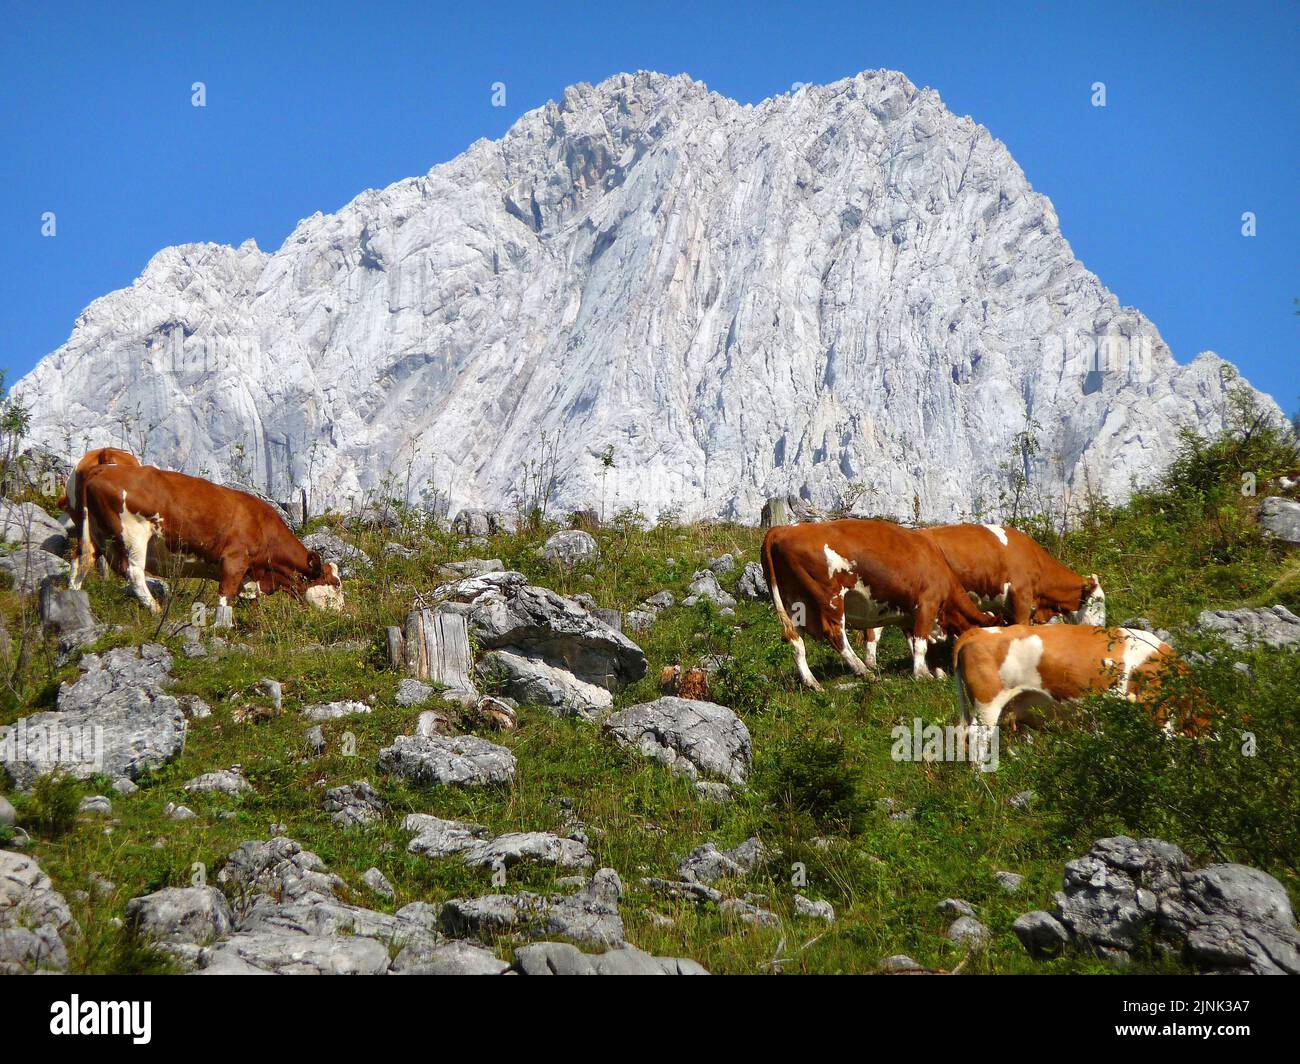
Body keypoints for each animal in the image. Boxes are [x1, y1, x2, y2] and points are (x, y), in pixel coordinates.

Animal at [72, 464, 342, 623]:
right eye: (336, 584)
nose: (342, 610)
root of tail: (102, 470)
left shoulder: (249, 574)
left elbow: (250, 601)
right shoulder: (234, 559)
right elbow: (225, 596)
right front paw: (222, 626)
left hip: (94, 535)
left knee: (80, 564)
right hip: (133, 533)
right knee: (134, 573)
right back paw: (156, 610)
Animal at [761, 519, 999, 689]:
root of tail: (782, 529)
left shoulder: (908, 616)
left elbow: (916, 643)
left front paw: (930, 671)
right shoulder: (927, 603)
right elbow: (921, 643)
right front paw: (922, 674)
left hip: (794, 604)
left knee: (795, 639)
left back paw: (812, 683)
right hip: (829, 598)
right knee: (836, 635)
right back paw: (865, 673)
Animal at [861, 523, 1105, 670]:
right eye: (1100, 603)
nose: (1100, 631)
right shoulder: (1022, 596)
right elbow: (1022, 627)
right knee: (875, 630)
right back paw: (872, 666)